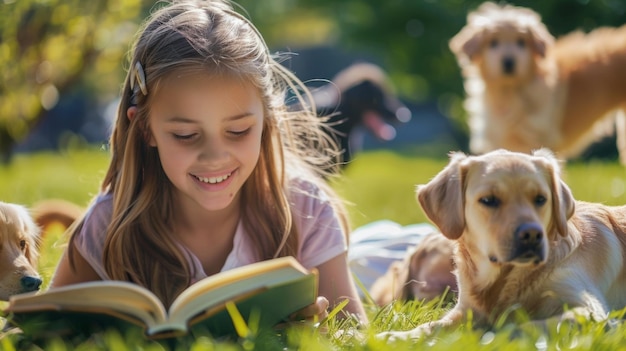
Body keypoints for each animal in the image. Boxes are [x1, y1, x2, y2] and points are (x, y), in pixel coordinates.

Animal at [376, 148, 624, 340]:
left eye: (540, 199)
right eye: (489, 200)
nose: (532, 234)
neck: (505, 278)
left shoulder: (590, 312)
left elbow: (522, 327)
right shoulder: (464, 310)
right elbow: (429, 326)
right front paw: (392, 336)